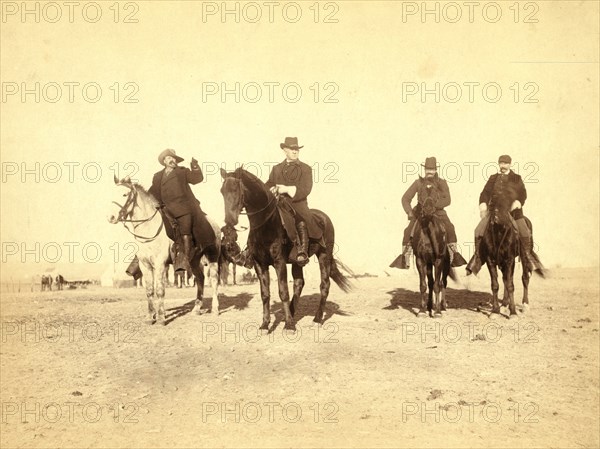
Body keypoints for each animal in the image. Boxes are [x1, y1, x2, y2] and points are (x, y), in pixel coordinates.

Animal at [107, 176, 220, 326]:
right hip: (194, 261)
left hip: (212, 256)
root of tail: (214, 224)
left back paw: (215, 309)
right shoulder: (145, 265)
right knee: (200, 279)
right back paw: (196, 308)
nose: (111, 217)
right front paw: (150, 317)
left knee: (214, 280)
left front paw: (161, 318)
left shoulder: (160, 264)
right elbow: (149, 291)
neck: (149, 227)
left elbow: (160, 290)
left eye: (124, 195)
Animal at [219, 168, 352, 328]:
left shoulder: (279, 262)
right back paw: (291, 314)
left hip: (324, 255)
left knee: (324, 285)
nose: (229, 221)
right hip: (297, 261)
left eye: (236, 189)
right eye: (222, 191)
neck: (266, 224)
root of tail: (323, 218)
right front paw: (265, 324)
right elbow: (265, 294)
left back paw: (316, 319)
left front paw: (289, 326)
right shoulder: (260, 264)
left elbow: (283, 292)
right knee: (299, 283)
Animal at [412, 184, 454, 316]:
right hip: (429, 264)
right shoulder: (420, 260)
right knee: (430, 283)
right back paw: (429, 306)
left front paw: (437, 312)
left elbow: (437, 285)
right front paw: (422, 310)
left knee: (442, 283)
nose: (428, 210)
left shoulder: (439, 261)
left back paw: (442, 306)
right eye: (420, 192)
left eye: (436, 193)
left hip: (445, 265)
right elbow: (423, 285)